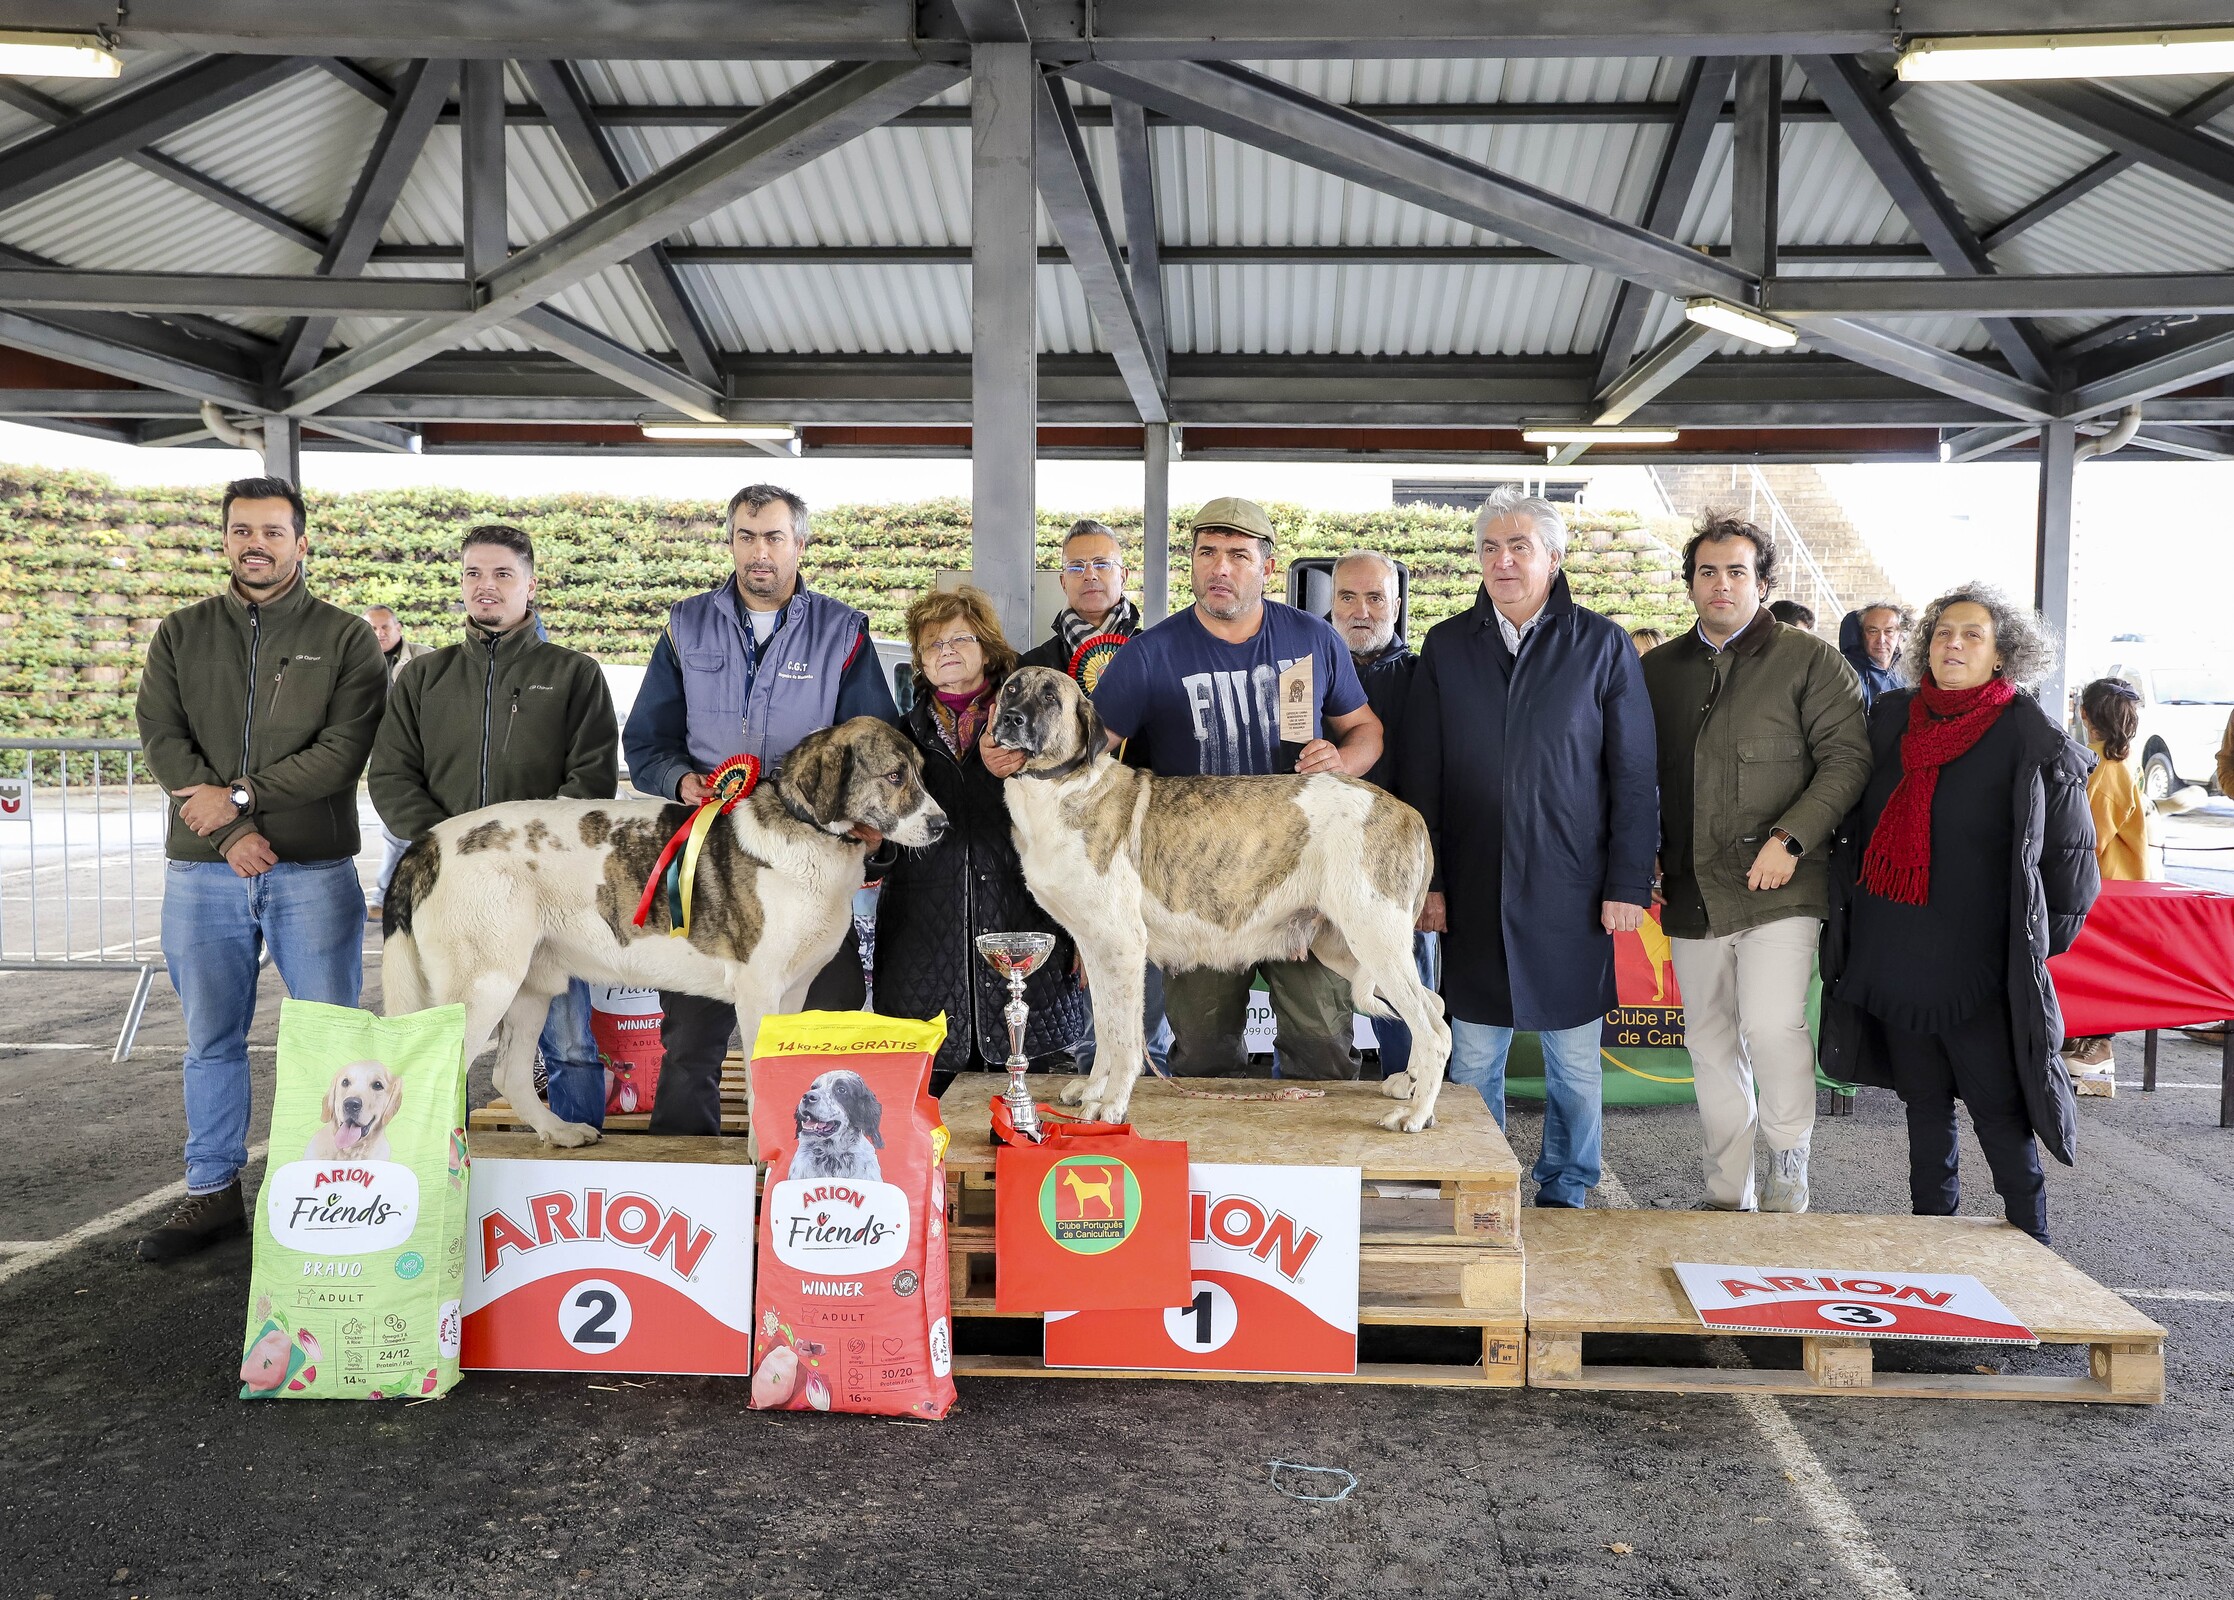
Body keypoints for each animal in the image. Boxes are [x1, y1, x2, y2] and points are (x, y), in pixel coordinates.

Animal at [384, 719, 942, 1144]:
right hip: (482, 987)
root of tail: (427, 844)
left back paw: (560, 1132)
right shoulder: (759, 991)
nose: (941, 824)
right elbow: (759, 1080)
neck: (807, 832)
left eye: (920, 772)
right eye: (895, 775)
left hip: (526, 987)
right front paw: (766, 1158)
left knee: (508, 1074)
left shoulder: (794, 992)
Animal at [991, 670, 1447, 1130]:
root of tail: (1410, 813)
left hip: (1375, 939)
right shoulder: (1096, 947)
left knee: (1432, 1030)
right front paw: (1092, 1088)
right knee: (1436, 1009)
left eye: (1051, 697)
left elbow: (1124, 1040)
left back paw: (1416, 1113)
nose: (1009, 719)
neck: (1057, 787)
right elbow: (1105, 1026)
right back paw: (1408, 1084)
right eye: (1010, 689)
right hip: (1347, 949)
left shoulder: (1122, 946)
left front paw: (1111, 1103)